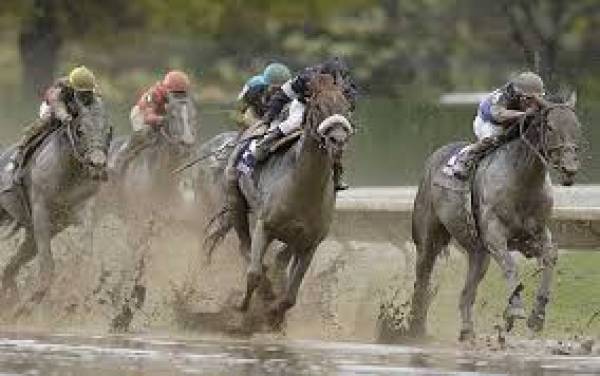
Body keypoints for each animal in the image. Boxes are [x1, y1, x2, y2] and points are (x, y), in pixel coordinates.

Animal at [0, 97, 111, 312]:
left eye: (108, 130)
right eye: (80, 130)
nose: (98, 164)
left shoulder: (81, 209)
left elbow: (86, 250)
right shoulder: (40, 212)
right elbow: (48, 265)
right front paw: (32, 301)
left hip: (31, 238)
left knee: (12, 265)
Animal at [204, 76, 354, 326]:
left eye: (347, 107)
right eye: (317, 106)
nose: (337, 140)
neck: (301, 189)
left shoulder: (309, 243)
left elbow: (290, 296)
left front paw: (275, 315)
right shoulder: (265, 226)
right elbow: (254, 273)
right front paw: (245, 306)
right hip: (235, 199)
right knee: (244, 246)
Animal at [408, 92, 580, 340]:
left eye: (577, 126)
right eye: (549, 126)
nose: (569, 168)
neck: (522, 182)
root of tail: (434, 157)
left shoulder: (535, 235)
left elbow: (550, 257)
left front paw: (537, 315)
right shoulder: (494, 236)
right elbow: (510, 267)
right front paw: (515, 309)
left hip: (478, 255)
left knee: (466, 294)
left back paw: (467, 332)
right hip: (428, 239)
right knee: (422, 281)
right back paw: (415, 329)